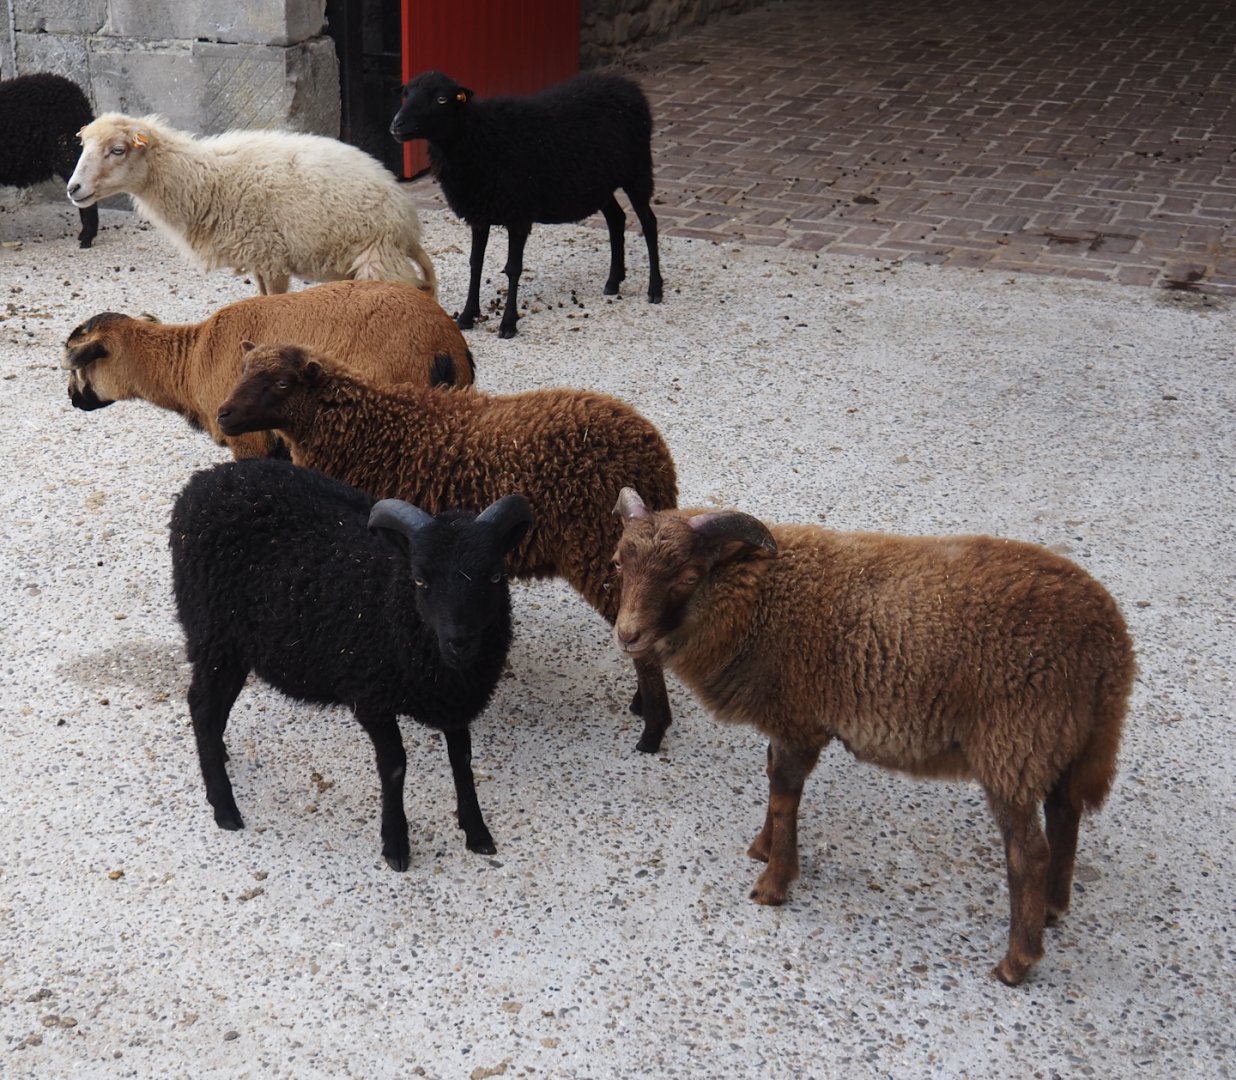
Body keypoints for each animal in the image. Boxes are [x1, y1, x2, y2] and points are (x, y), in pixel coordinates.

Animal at [66, 112, 436, 297]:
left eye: (117, 150)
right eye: (84, 146)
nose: (73, 188)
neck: (205, 181)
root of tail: (408, 221)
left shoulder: (272, 257)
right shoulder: (258, 256)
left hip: (378, 256)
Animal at [168, 457, 533, 870]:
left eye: (496, 575)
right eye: (420, 580)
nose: (460, 642)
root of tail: (202, 481)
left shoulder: (454, 703)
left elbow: (462, 760)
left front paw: (476, 831)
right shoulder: (369, 696)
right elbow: (394, 765)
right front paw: (395, 844)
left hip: (236, 643)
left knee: (216, 706)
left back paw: (219, 753)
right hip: (212, 633)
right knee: (201, 705)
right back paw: (224, 806)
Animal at [215, 342, 680, 752]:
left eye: (281, 384)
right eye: (242, 370)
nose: (223, 415)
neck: (367, 430)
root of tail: (655, 454)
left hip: (599, 549)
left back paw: (652, 730)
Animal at [390, 70, 663, 338]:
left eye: (441, 99)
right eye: (406, 93)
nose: (396, 125)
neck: (478, 137)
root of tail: (628, 84)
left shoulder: (518, 214)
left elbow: (513, 268)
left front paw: (508, 324)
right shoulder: (480, 214)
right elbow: (475, 263)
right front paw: (468, 316)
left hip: (638, 169)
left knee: (649, 222)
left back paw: (655, 289)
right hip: (601, 183)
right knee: (616, 219)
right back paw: (613, 281)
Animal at [610, 488, 1135, 986]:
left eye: (689, 575)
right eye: (618, 563)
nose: (627, 635)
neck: (761, 600)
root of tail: (1113, 645)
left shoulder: (799, 721)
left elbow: (784, 797)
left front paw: (774, 882)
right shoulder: (786, 719)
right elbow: (773, 782)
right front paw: (763, 846)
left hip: (1015, 743)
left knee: (1028, 852)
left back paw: (1016, 962)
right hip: (1061, 740)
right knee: (1065, 815)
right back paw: (1052, 908)